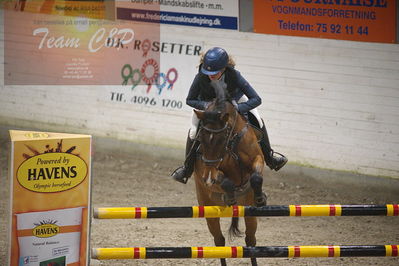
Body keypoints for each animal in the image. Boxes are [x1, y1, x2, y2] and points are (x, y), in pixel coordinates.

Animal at [194, 81, 268, 266]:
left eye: (221, 139)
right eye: (201, 138)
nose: (208, 179)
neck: (232, 143)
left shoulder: (258, 158)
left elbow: (256, 177)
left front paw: (260, 199)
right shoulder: (208, 169)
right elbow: (226, 181)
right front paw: (230, 197)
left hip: (249, 212)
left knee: (250, 240)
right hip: (208, 210)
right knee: (219, 241)